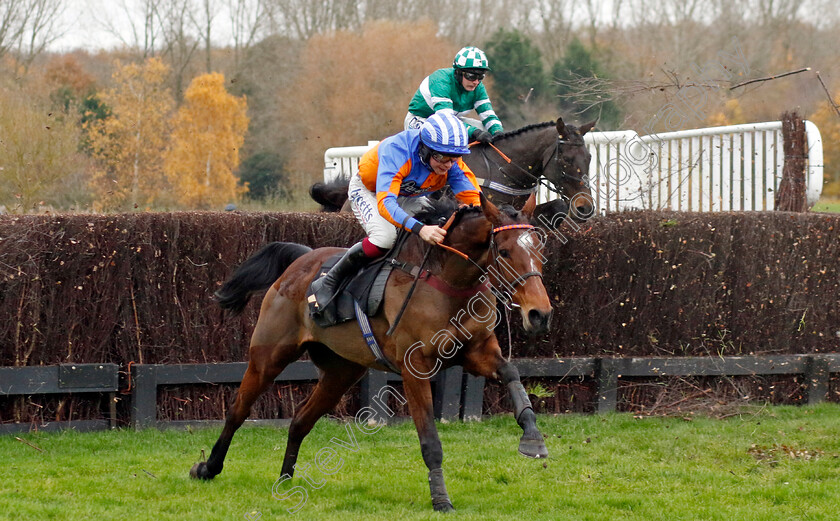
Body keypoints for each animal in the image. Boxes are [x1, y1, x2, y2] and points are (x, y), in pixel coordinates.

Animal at [193, 193, 556, 510]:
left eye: (540, 247)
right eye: (505, 252)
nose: (539, 314)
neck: (449, 278)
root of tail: (301, 259)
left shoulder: (476, 351)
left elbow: (511, 372)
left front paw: (533, 438)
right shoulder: (415, 367)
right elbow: (430, 440)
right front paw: (441, 499)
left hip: (342, 371)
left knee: (299, 422)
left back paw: (285, 480)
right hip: (268, 357)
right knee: (238, 411)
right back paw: (208, 468)